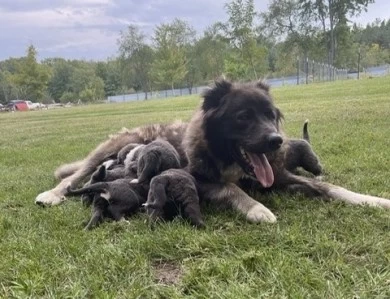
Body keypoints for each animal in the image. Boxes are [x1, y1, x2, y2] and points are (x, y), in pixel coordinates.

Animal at [35, 79, 388, 223]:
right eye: (244, 117)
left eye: (270, 114)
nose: (276, 140)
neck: (232, 161)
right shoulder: (199, 179)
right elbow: (231, 188)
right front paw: (256, 209)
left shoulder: (281, 176)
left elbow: (331, 187)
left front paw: (372, 200)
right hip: (109, 148)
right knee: (75, 176)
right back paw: (52, 194)